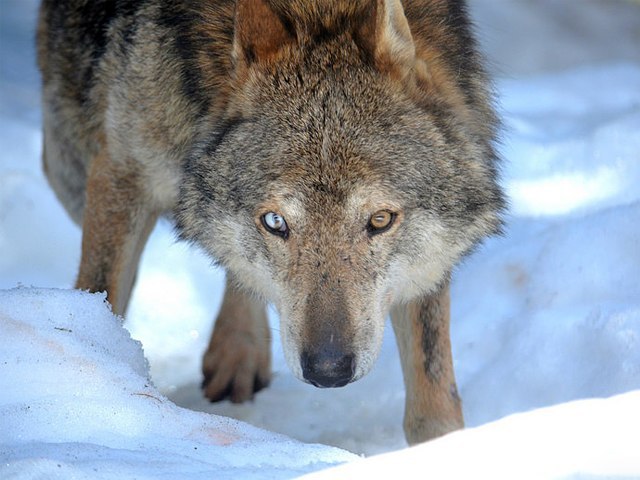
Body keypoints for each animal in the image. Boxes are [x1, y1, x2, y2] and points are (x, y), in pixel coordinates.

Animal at [37, 0, 508, 444]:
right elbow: (103, 292)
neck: (318, 9)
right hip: (68, 171)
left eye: (380, 219)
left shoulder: (430, 255)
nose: (328, 369)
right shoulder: (125, 172)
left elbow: (433, 391)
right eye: (275, 221)